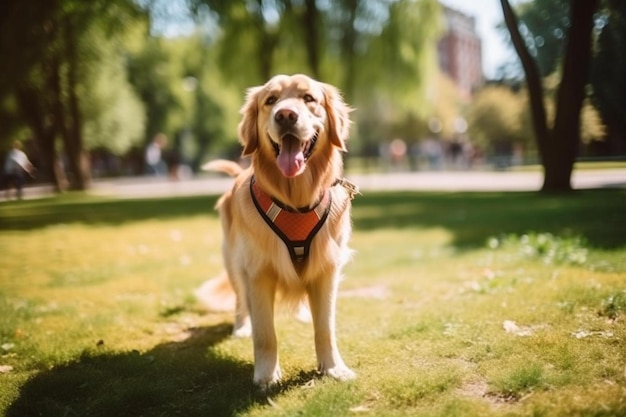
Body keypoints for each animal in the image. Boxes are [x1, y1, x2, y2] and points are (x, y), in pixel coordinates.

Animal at [200, 73, 356, 388]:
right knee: (241, 300)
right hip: (234, 262)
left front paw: (334, 368)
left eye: (309, 98)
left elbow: (326, 328)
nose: (285, 115)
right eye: (270, 100)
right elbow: (265, 334)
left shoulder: (327, 269)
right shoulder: (258, 271)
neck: (296, 200)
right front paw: (266, 375)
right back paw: (241, 327)